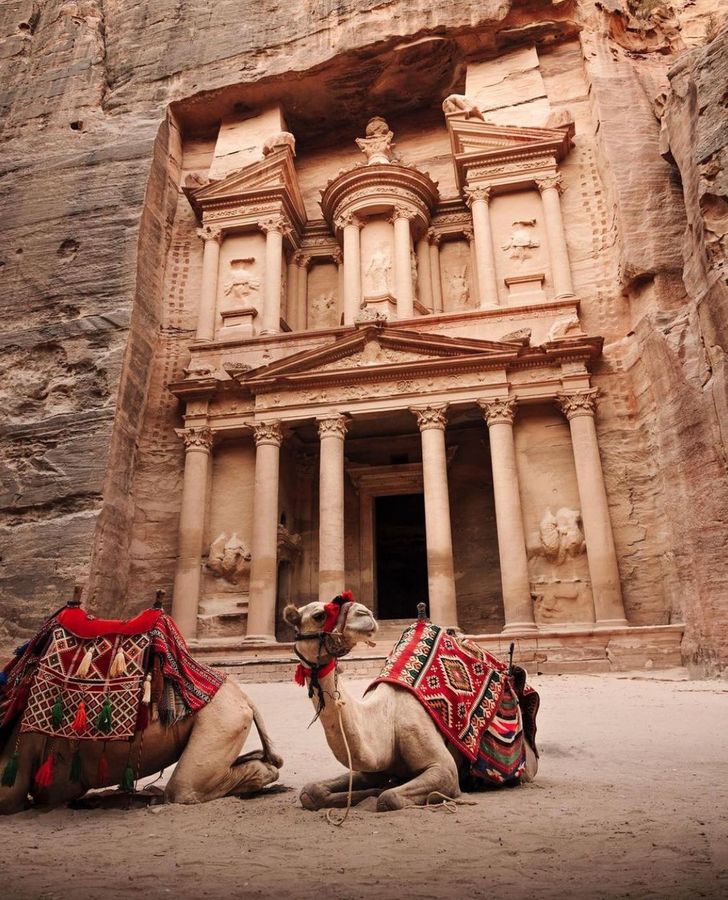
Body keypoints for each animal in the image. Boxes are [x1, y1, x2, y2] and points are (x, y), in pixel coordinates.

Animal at [284, 599, 538, 813]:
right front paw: (370, 790)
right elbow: (311, 792)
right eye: (318, 615)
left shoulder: (443, 767)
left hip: (524, 767)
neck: (386, 721)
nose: (364, 613)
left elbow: (388, 798)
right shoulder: (371, 769)